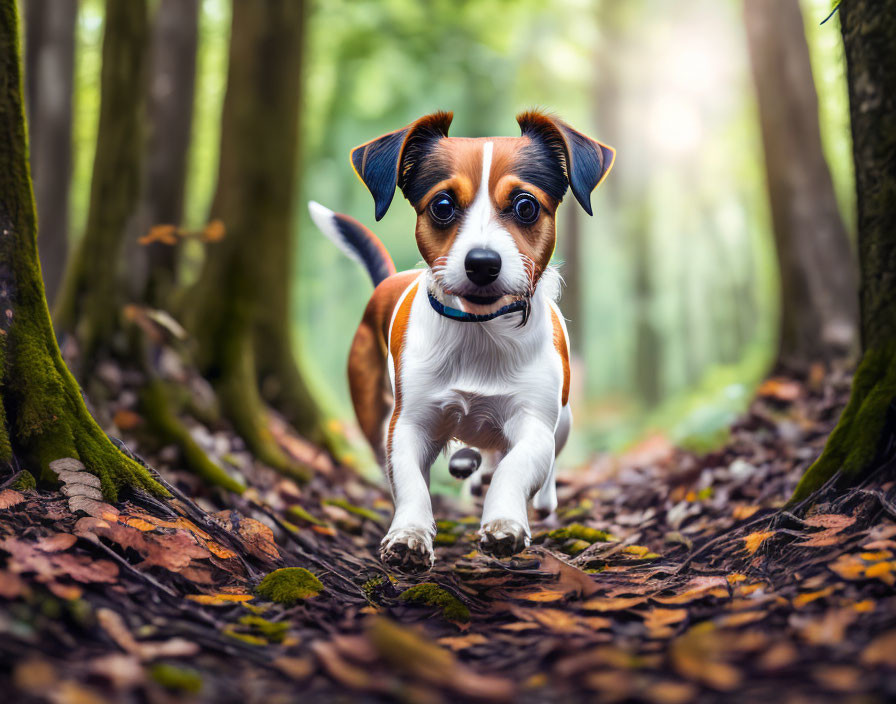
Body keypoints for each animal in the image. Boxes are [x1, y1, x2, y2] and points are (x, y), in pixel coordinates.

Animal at [310, 111, 616, 572]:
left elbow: (516, 467)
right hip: (371, 407)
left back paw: (529, 493)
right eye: (442, 205)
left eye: (526, 205)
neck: (480, 329)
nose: (483, 263)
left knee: (532, 466)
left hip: (562, 421)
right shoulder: (408, 424)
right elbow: (411, 481)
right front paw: (410, 532)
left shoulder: (534, 423)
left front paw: (505, 521)